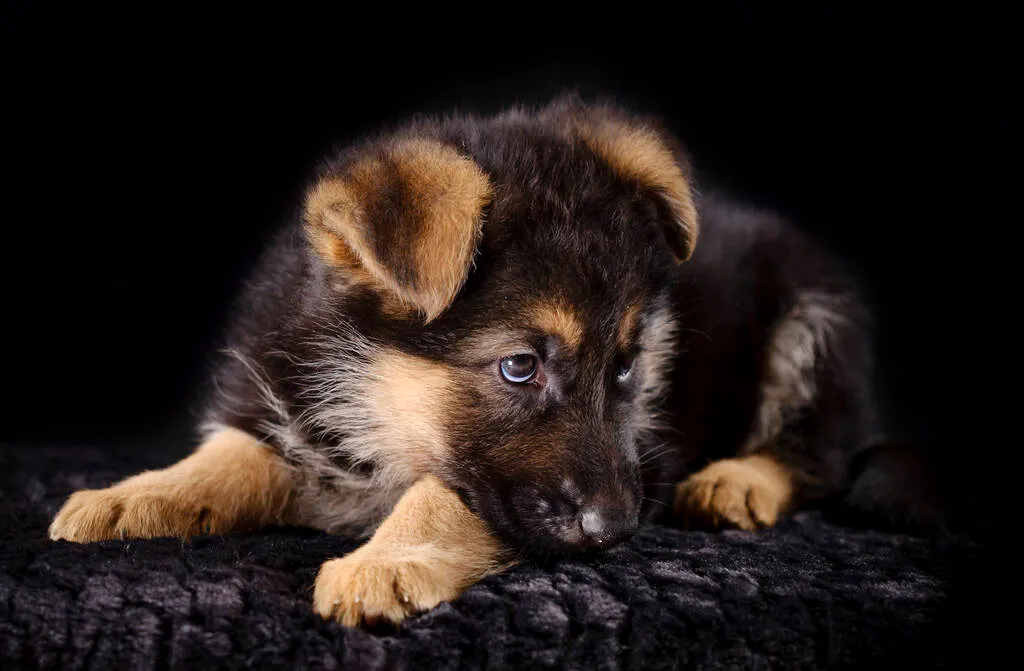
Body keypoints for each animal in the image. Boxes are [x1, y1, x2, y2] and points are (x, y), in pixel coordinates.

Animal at [49, 95, 929, 631]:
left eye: (626, 366)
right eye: (518, 368)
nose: (619, 528)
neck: (380, 403)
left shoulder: (559, 475)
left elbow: (445, 495)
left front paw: (385, 559)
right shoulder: (289, 405)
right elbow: (231, 453)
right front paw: (133, 495)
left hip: (812, 319)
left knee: (819, 448)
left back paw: (738, 480)